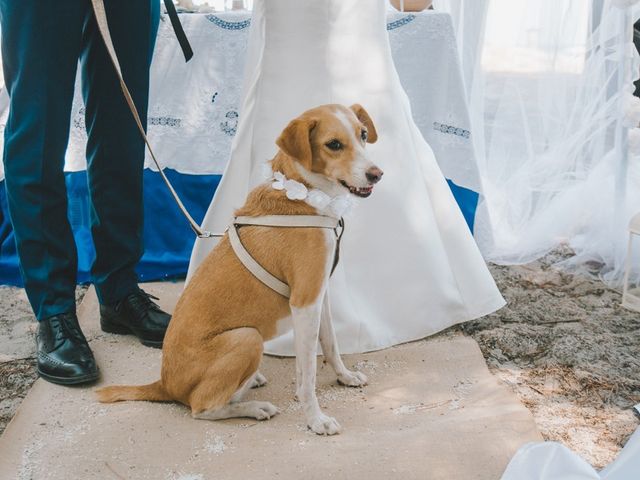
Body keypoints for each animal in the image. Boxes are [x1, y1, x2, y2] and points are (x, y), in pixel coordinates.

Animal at [97, 104, 382, 436]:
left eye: (363, 135)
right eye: (333, 144)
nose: (377, 174)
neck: (302, 194)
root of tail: (165, 384)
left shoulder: (317, 295)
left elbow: (331, 344)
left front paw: (344, 376)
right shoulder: (304, 302)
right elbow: (307, 372)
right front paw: (315, 419)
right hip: (247, 337)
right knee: (201, 407)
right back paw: (253, 407)